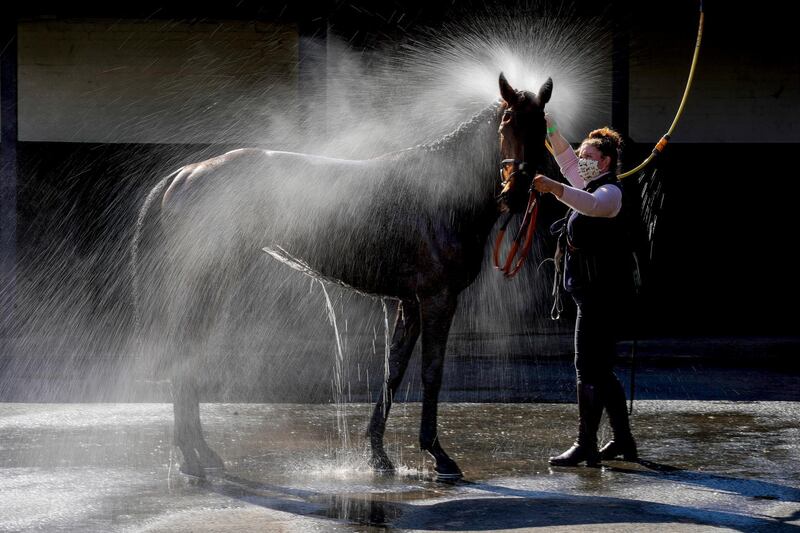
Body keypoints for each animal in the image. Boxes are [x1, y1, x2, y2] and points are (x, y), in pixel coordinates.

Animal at [131, 74, 552, 478]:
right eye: (507, 122)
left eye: (542, 127)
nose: (516, 192)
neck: (443, 191)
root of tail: (185, 174)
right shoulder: (438, 299)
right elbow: (431, 372)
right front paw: (439, 456)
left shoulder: (410, 303)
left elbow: (393, 371)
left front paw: (377, 455)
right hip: (207, 283)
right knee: (185, 354)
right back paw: (194, 455)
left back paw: (197, 453)